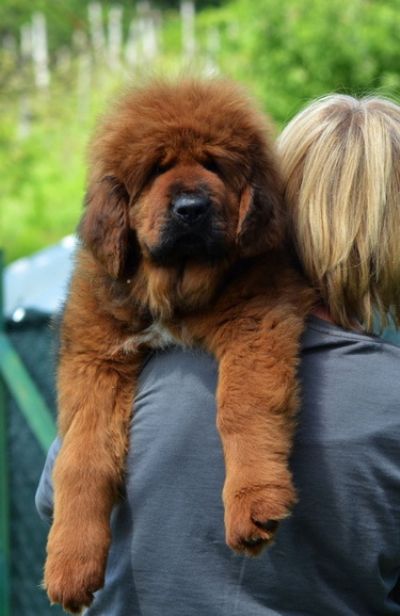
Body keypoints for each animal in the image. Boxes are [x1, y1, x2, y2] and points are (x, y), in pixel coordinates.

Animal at [43, 79, 312, 612]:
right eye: (155, 170)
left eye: (214, 165)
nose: (190, 209)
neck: (172, 290)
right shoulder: (96, 356)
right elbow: (81, 460)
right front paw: (70, 564)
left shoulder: (255, 321)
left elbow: (241, 409)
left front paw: (253, 501)